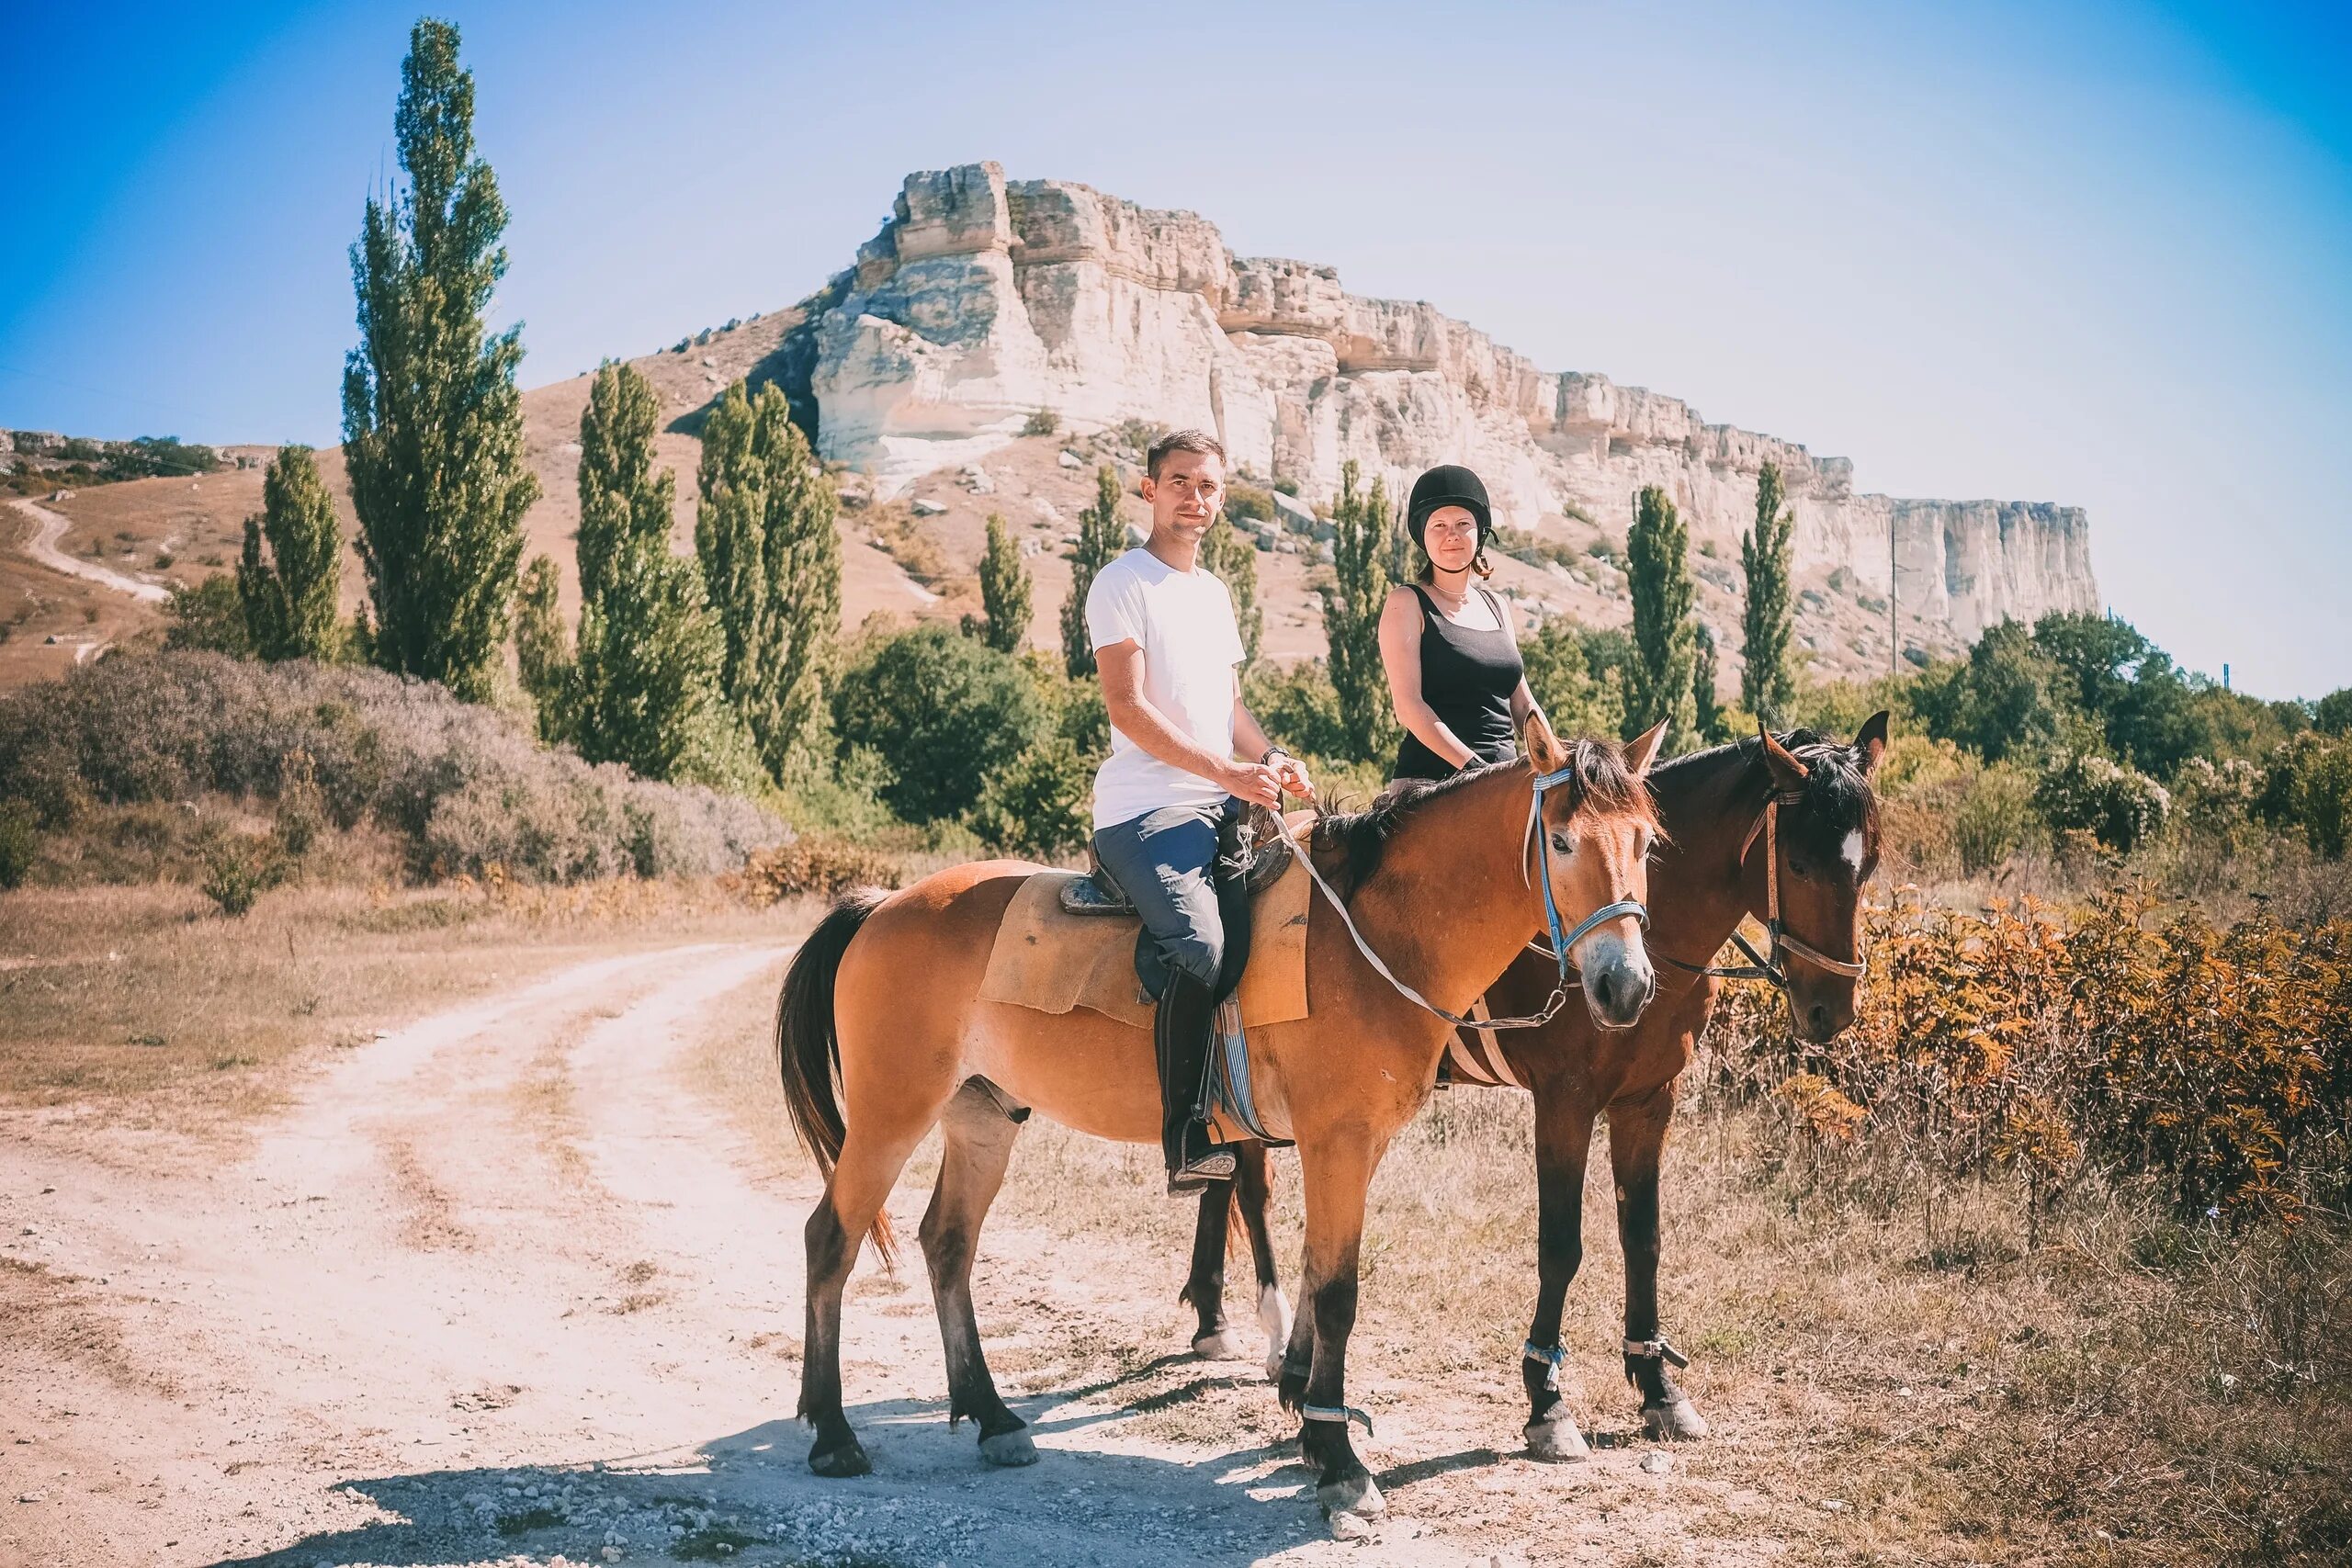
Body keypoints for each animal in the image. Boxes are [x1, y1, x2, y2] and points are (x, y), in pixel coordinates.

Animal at [775, 728, 1674, 1523]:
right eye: (1560, 841)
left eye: (1646, 844)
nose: (1626, 986)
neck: (1372, 936)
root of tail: (881, 906)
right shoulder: (1337, 1140)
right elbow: (1337, 1292)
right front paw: (1340, 1463)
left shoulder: (1353, 1146)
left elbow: (1314, 1271)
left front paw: (1310, 1422)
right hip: (892, 1114)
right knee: (830, 1237)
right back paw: (834, 1432)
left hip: (982, 1117)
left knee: (947, 1243)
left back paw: (992, 1416)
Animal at [1185, 719, 1882, 1457]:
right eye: (1800, 866)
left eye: (1867, 865)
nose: (1832, 1009)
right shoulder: (1565, 1101)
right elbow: (1562, 1245)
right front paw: (1547, 1400)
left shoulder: (1648, 1100)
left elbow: (1644, 1237)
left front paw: (1658, 1386)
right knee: (1249, 1188)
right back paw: (1257, 1336)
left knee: (1225, 1179)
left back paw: (1230, 1326)